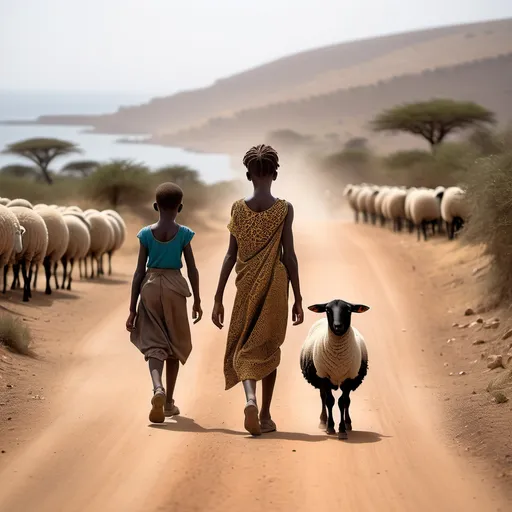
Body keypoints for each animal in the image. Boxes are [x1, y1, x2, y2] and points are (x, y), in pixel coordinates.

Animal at [298, 300, 370, 440]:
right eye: (327, 309)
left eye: (348, 310)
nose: (337, 326)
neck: (338, 357)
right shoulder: (324, 377)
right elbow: (329, 401)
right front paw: (330, 427)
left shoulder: (349, 378)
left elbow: (343, 402)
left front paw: (342, 430)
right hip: (319, 376)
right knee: (323, 398)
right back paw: (323, 421)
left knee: (347, 401)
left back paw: (348, 423)